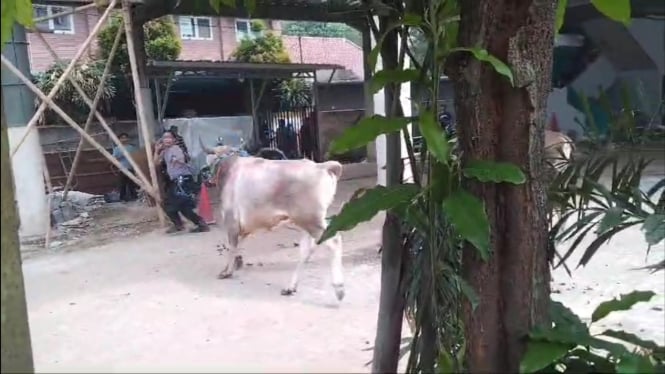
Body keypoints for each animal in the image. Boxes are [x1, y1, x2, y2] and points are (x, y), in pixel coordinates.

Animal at [205, 145, 344, 300]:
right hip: (307, 223)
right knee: (306, 251)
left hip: (311, 221)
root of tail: (322, 166)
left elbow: (231, 247)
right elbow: (238, 245)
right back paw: (291, 287)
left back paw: (339, 288)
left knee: (334, 242)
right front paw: (237, 263)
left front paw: (227, 271)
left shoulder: (231, 222)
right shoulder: (245, 227)